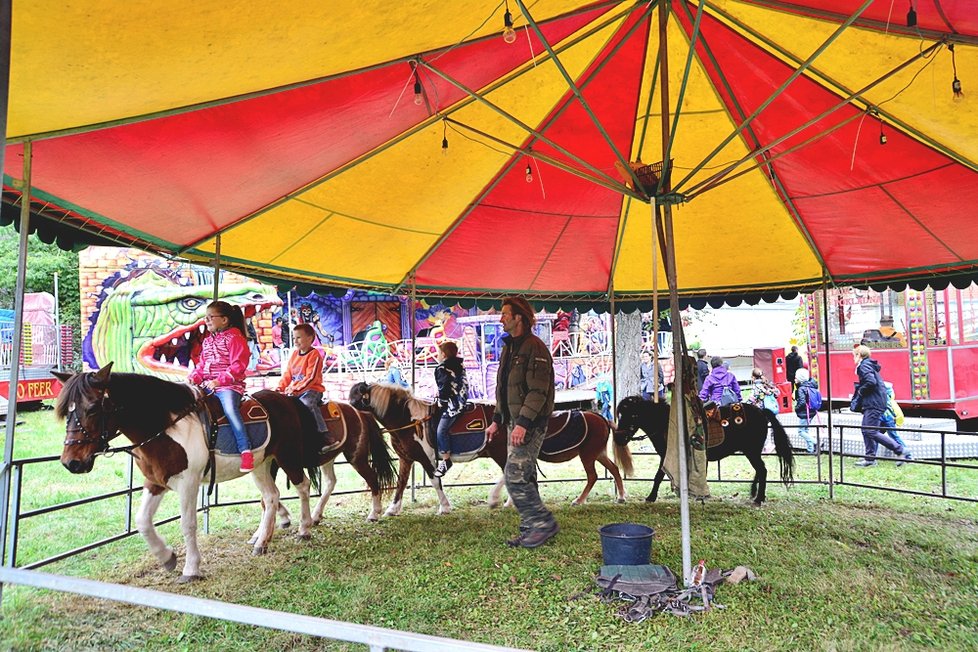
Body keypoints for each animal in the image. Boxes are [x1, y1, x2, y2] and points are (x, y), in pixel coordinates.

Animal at [54, 364, 392, 584]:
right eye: (66, 410)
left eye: (93, 408)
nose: (71, 462)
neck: (168, 426)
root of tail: (288, 402)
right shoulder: (156, 481)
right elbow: (142, 523)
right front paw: (166, 557)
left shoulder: (189, 483)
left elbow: (188, 524)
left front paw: (191, 568)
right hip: (262, 464)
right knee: (273, 496)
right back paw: (262, 542)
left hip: (292, 456)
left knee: (306, 485)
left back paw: (308, 527)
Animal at [346, 382, 628, 516]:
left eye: (356, 396)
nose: (343, 407)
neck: (410, 418)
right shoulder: (407, 458)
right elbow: (402, 483)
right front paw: (392, 509)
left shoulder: (427, 458)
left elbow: (436, 482)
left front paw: (444, 507)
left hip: (501, 451)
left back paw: (498, 500)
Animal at [608, 394, 792, 506]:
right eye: (620, 414)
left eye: (633, 415)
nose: (619, 438)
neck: (666, 424)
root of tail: (762, 411)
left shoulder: (666, 456)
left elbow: (658, 476)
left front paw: (651, 497)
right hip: (752, 452)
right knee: (760, 470)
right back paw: (754, 493)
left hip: (752, 451)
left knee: (762, 470)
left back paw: (759, 498)